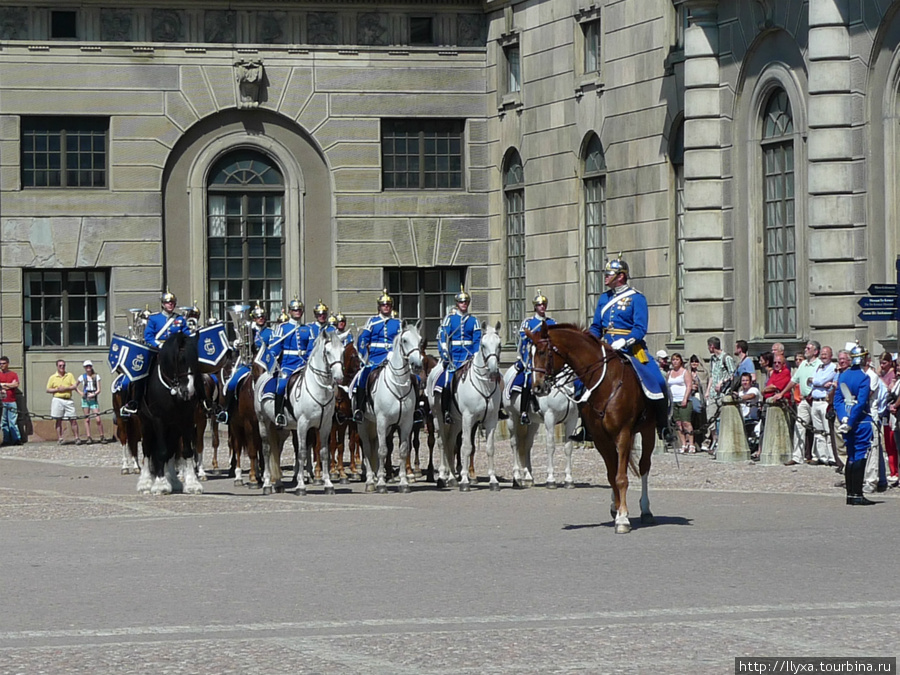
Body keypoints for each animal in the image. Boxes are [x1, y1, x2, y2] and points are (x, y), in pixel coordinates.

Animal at [135, 332, 204, 496]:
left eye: (196, 360)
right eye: (180, 359)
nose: (188, 392)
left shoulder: (186, 420)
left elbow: (186, 451)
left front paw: (192, 484)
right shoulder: (158, 420)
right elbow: (160, 451)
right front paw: (160, 485)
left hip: (174, 427)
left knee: (171, 450)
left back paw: (172, 479)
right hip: (146, 423)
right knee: (147, 449)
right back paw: (145, 483)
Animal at [256, 332, 348, 496]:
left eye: (343, 351)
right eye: (328, 352)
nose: (339, 377)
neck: (319, 389)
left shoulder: (325, 426)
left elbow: (324, 452)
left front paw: (328, 484)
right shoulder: (303, 425)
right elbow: (302, 453)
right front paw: (300, 486)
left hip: (281, 429)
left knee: (276, 450)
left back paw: (278, 484)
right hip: (263, 421)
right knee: (266, 450)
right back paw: (267, 484)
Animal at [358, 324, 426, 494]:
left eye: (420, 340)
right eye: (405, 340)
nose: (417, 365)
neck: (398, 385)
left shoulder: (406, 423)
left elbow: (402, 451)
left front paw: (404, 482)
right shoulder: (383, 422)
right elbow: (382, 451)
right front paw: (382, 484)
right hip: (363, 424)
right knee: (367, 448)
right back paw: (370, 481)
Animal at [428, 322, 502, 492]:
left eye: (499, 345)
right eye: (483, 345)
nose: (493, 370)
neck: (484, 386)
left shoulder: (491, 419)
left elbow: (490, 448)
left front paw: (493, 480)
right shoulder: (469, 418)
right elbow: (467, 447)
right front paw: (465, 481)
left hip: (456, 420)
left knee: (450, 442)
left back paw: (451, 478)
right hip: (437, 417)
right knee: (442, 442)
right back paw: (442, 477)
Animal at [528, 324, 652, 536]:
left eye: (543, 352)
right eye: (530, 353)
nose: (537, 388)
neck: (606, 383)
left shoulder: (623, 434)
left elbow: (621, 478)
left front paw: (623, 519)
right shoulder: (601, 439)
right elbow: (612, 476)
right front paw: (618, 511)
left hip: (648, 431)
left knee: (644, 466)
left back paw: (645, 509)